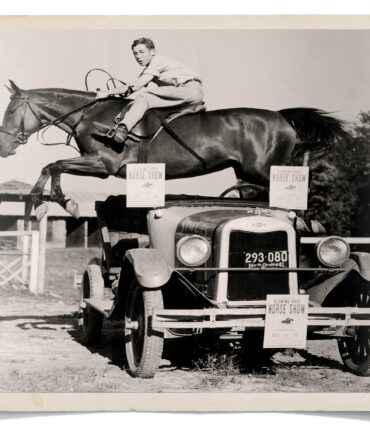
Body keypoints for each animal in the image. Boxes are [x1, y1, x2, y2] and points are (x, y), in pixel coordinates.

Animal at [0, 80, 352, 220]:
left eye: (11, 110)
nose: (3, 148)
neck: (90, 114)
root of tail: (281, 116)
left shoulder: (103, 164)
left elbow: (53, 165)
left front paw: (50, 202)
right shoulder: (97, 164)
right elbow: (54, 165)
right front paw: (57, 202)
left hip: (263, 170)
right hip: (248, 172)